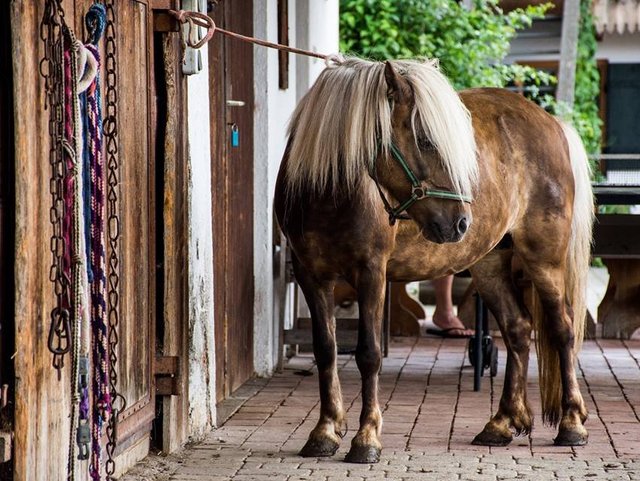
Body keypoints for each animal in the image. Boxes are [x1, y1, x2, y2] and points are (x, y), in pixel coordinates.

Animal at [276, 56, 596, 462]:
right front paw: (325, 430)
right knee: (518, 329)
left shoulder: (371, 273)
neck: (330, 196)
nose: (460, 221)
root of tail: (553, 123)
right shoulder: (311, 276)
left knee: (562, 329)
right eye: (426, 140)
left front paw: (366, 438)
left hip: (545, 260)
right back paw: (502, 423)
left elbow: (369, 353)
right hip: (489, 264)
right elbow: (326, 350)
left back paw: (572, 423)